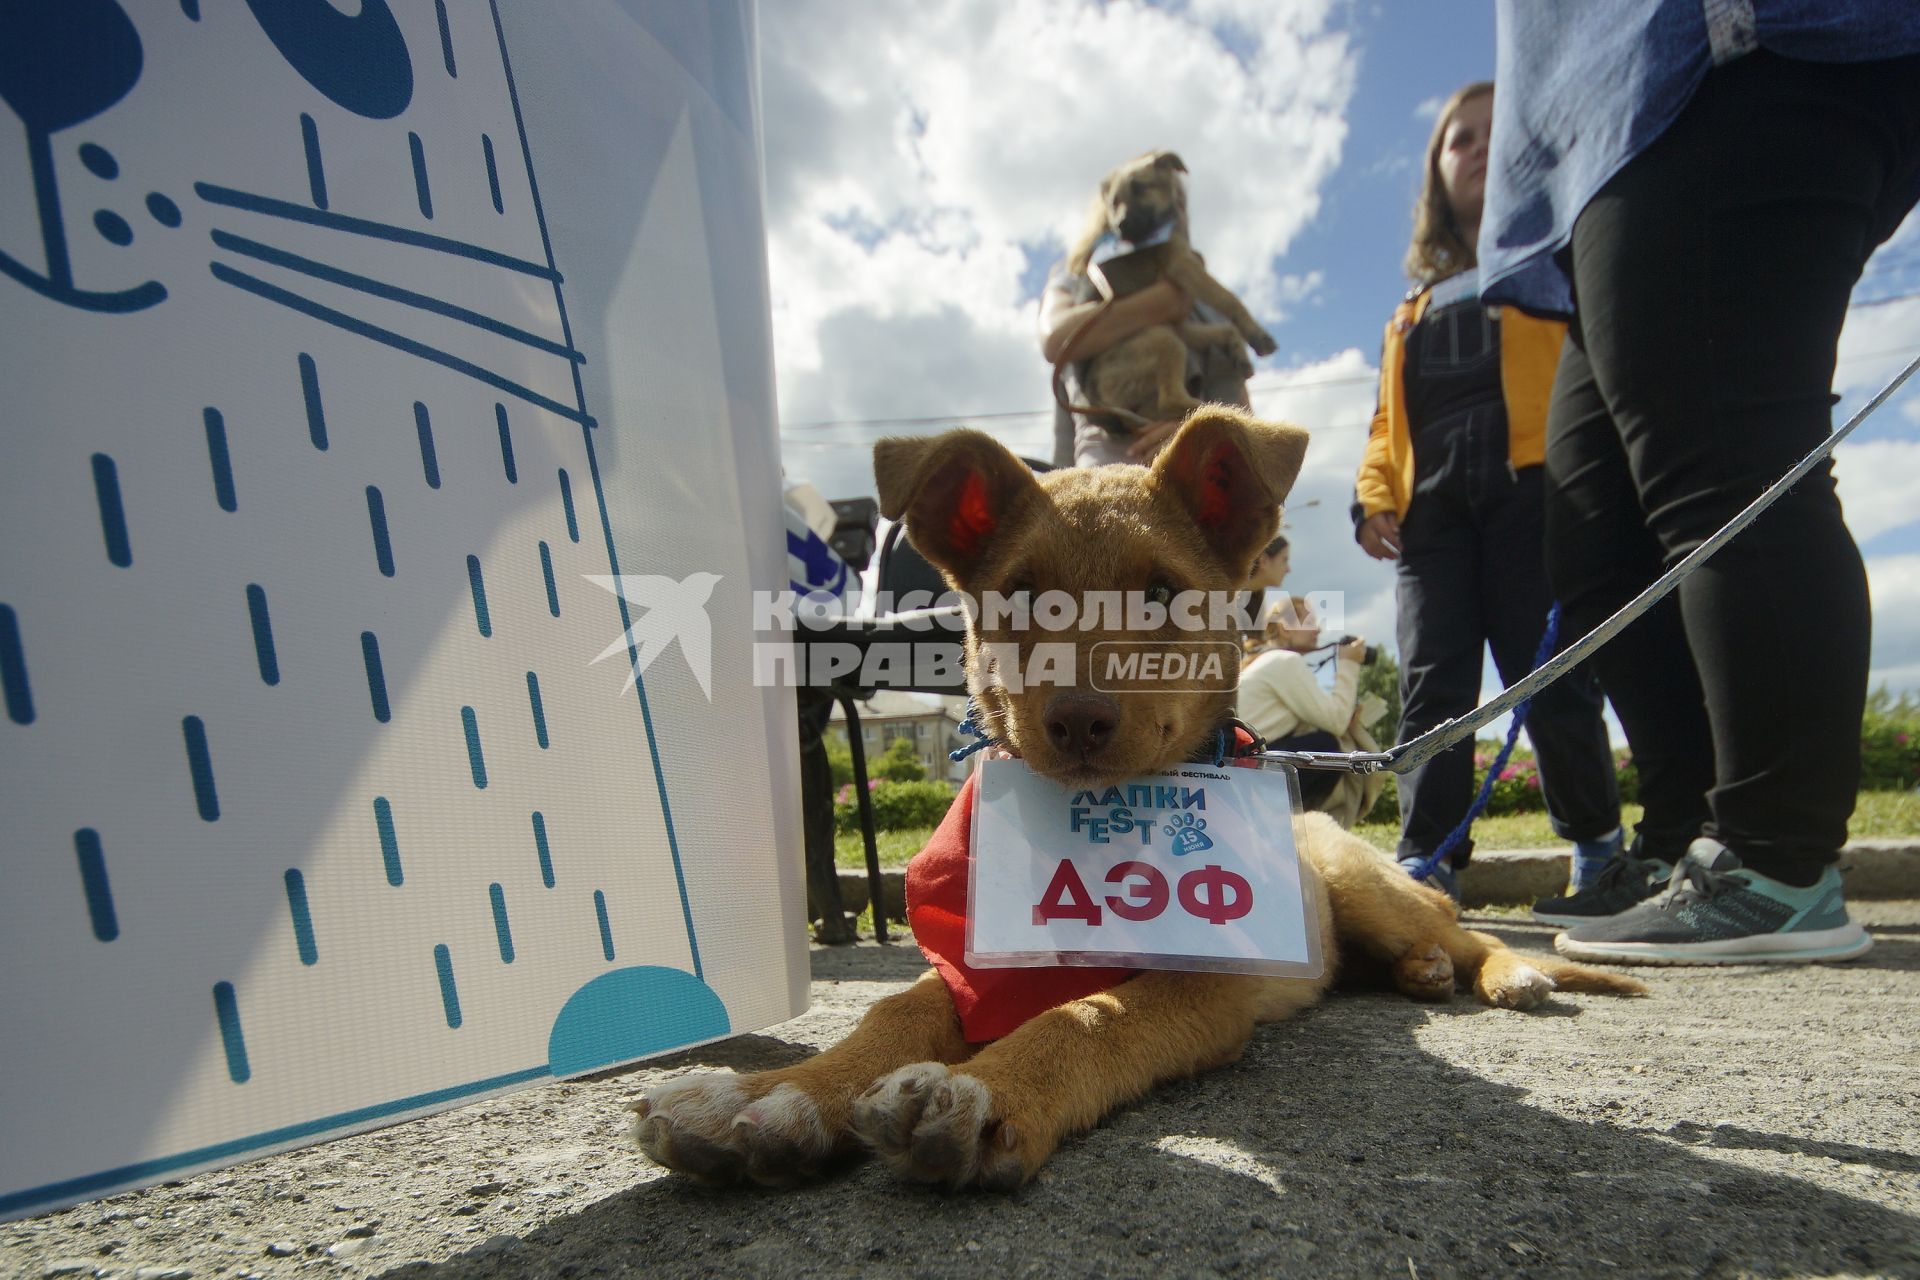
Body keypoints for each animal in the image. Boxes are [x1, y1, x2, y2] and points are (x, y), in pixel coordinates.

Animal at [625, 408, 1635, 1189]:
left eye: (1161, 594)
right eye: (1021, 595)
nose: (1077, 719)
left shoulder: (1206, 979)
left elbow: (1091, 1017)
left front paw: (990, 1089)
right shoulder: (965, 962)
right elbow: (892, 1014)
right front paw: (777, 1097)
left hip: (1364, 885)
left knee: (1466, 931)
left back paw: (1506, 972)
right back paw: (1420, 974)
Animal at [1067, 153, 1274, 426]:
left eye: (1140, 188)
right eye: (1114, 203)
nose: (1120, 226)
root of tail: (1094, 397)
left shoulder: (1179, 321)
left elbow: (1224, 328)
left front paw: (1239, 352)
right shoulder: (1182, 268)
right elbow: (1229, 299)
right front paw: (1257, 334)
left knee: (1156, 411)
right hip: (1162, 338)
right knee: (1169, 400)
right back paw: (1213, 410)